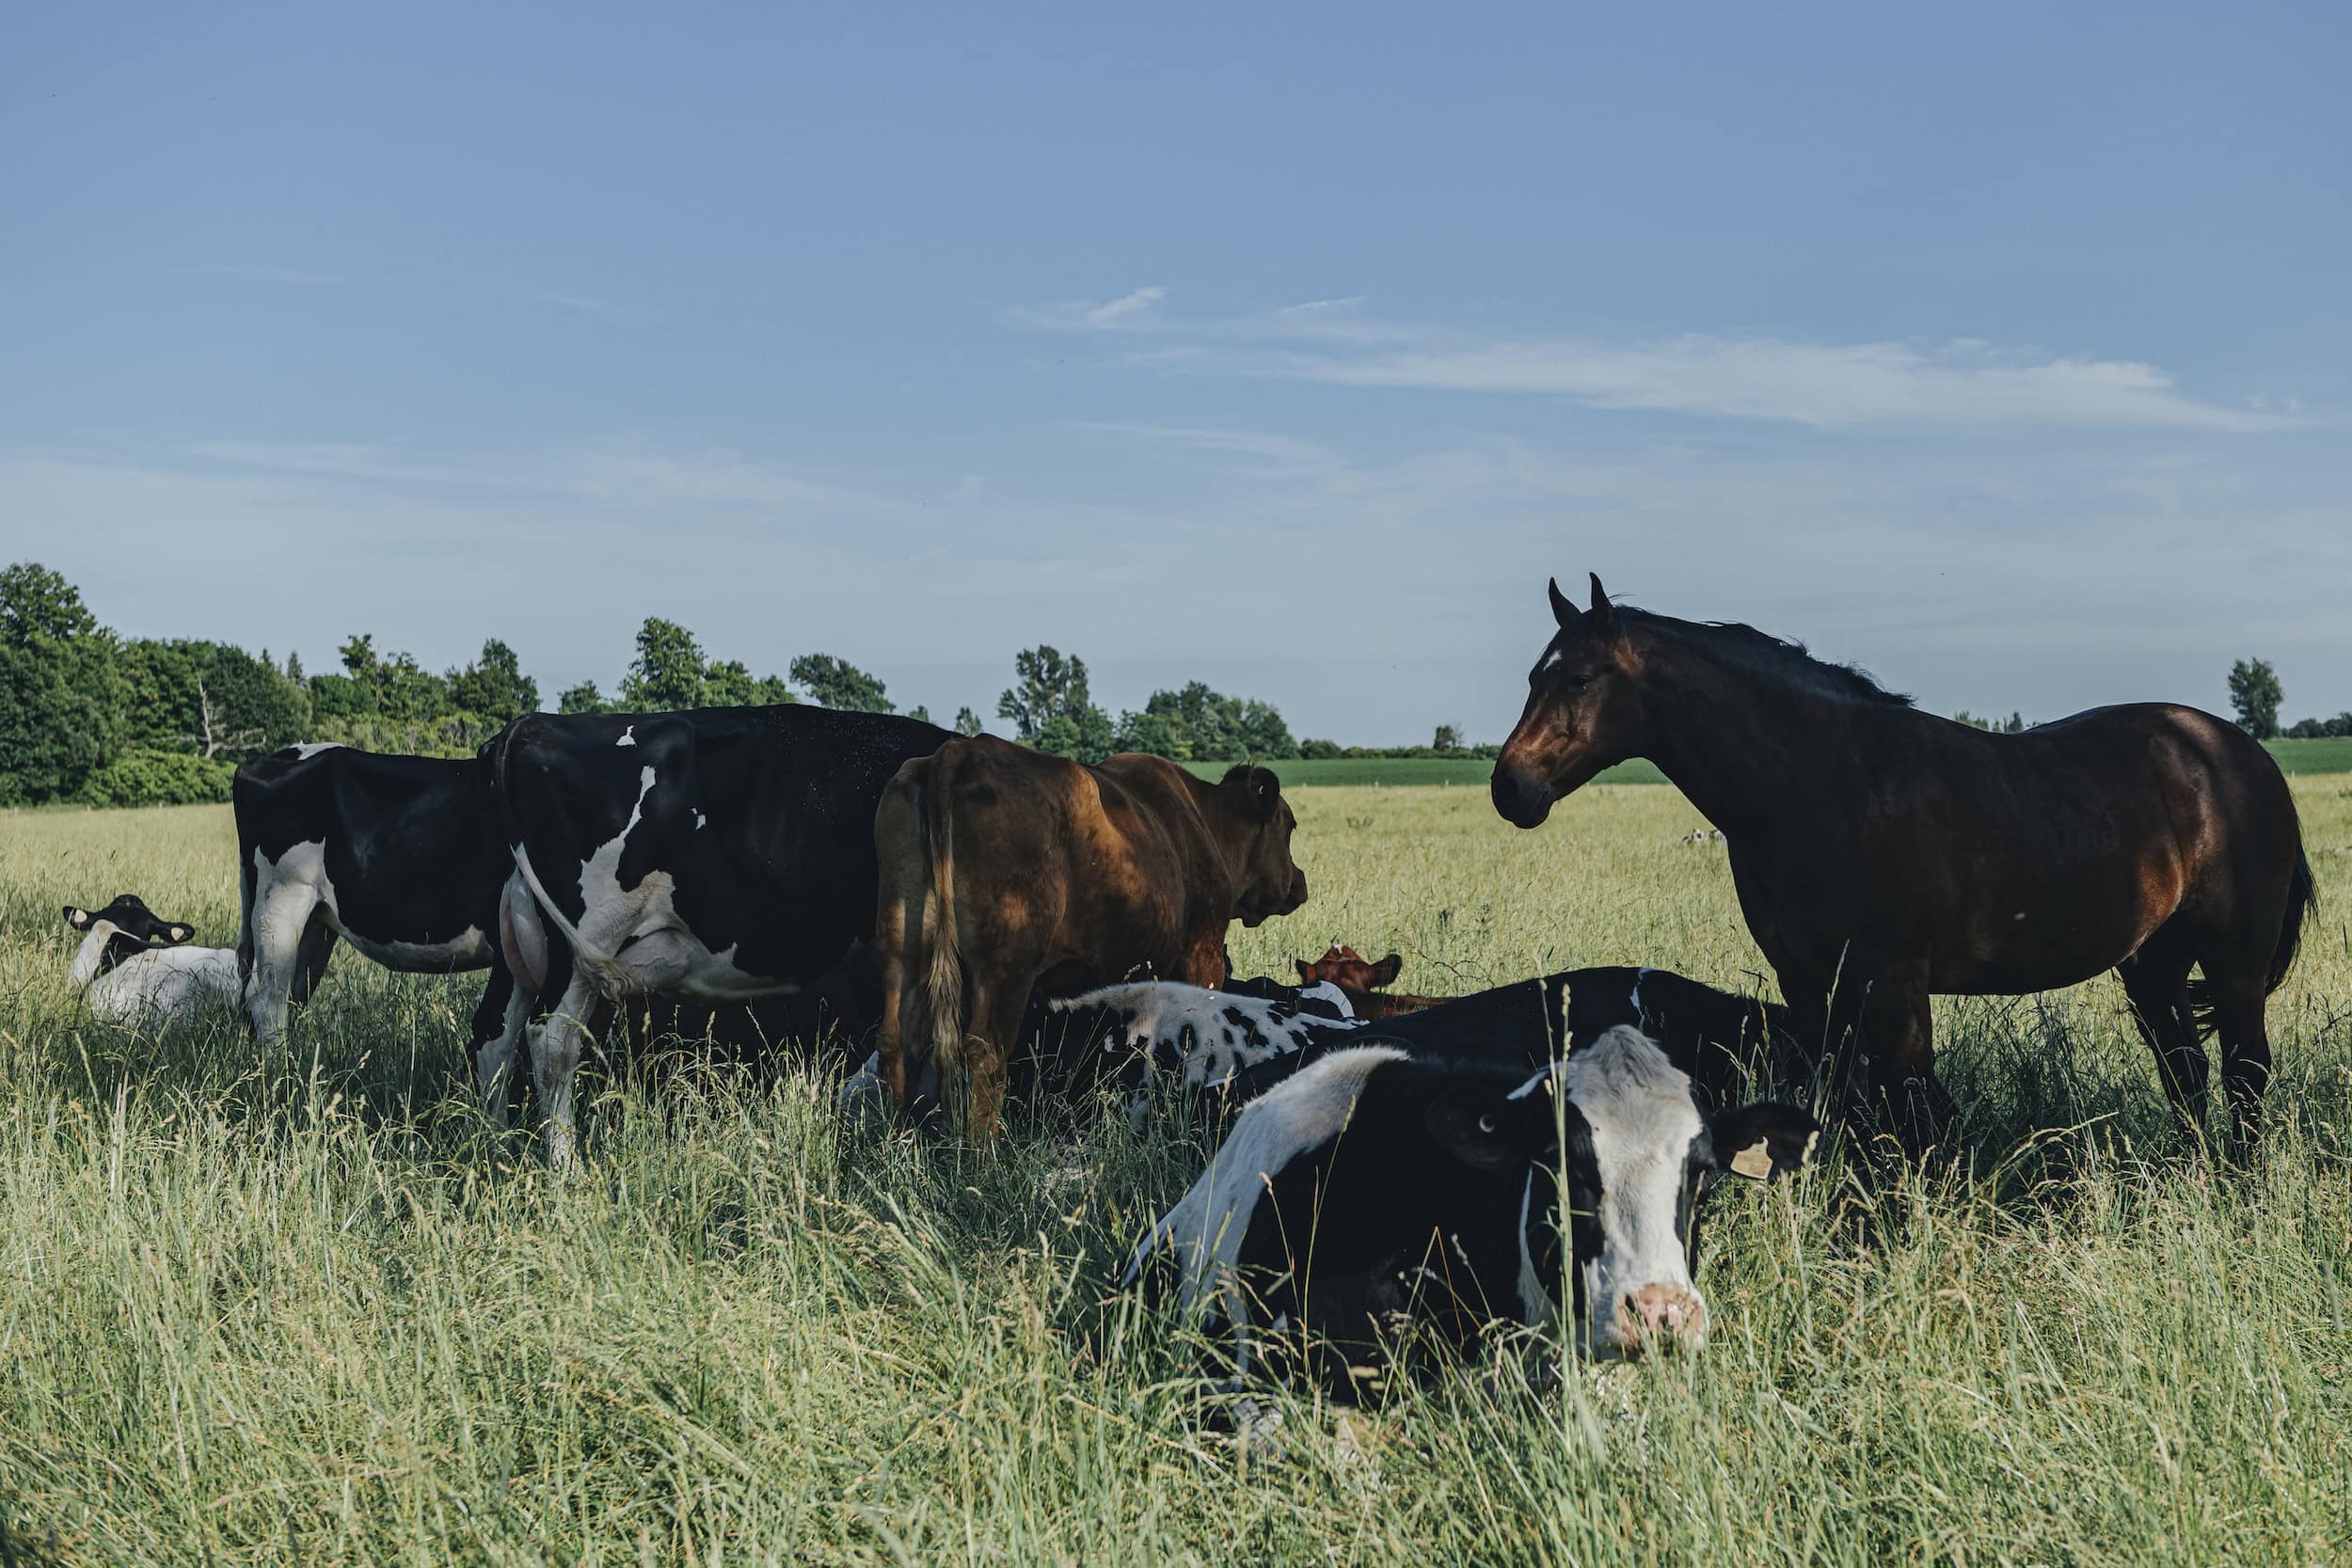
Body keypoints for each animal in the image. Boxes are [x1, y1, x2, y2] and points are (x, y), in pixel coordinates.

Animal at [491, 705, 953, 1166]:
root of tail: (533, 722)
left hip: (525, 949)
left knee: (499, 1034)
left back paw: (496, 1139)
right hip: (586, 941)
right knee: (552, 1041)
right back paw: (566, 1164)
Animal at [872, 736, 1310, 1142]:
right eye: (1288, 825)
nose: (1299, 882)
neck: (1205, 821)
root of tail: (964, 750)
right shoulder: (1202, 954)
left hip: (901, 952)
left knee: (897, 1041)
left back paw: (897, 1137)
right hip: (1006, 970)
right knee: (984, 1053)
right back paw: (985, 1152)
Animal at [1490, 573, 2316, 1148]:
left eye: (1579, 677)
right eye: (1533, 675)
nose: (1511, 786)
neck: (1824, 783)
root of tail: (2242, 754)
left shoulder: (1893, 984)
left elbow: (1905, 1115)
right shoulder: (1812, 988)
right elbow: (1845, 1109)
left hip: (2234, 965)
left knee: (2245, 1074)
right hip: (2153, 965)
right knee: (2187, 1071)